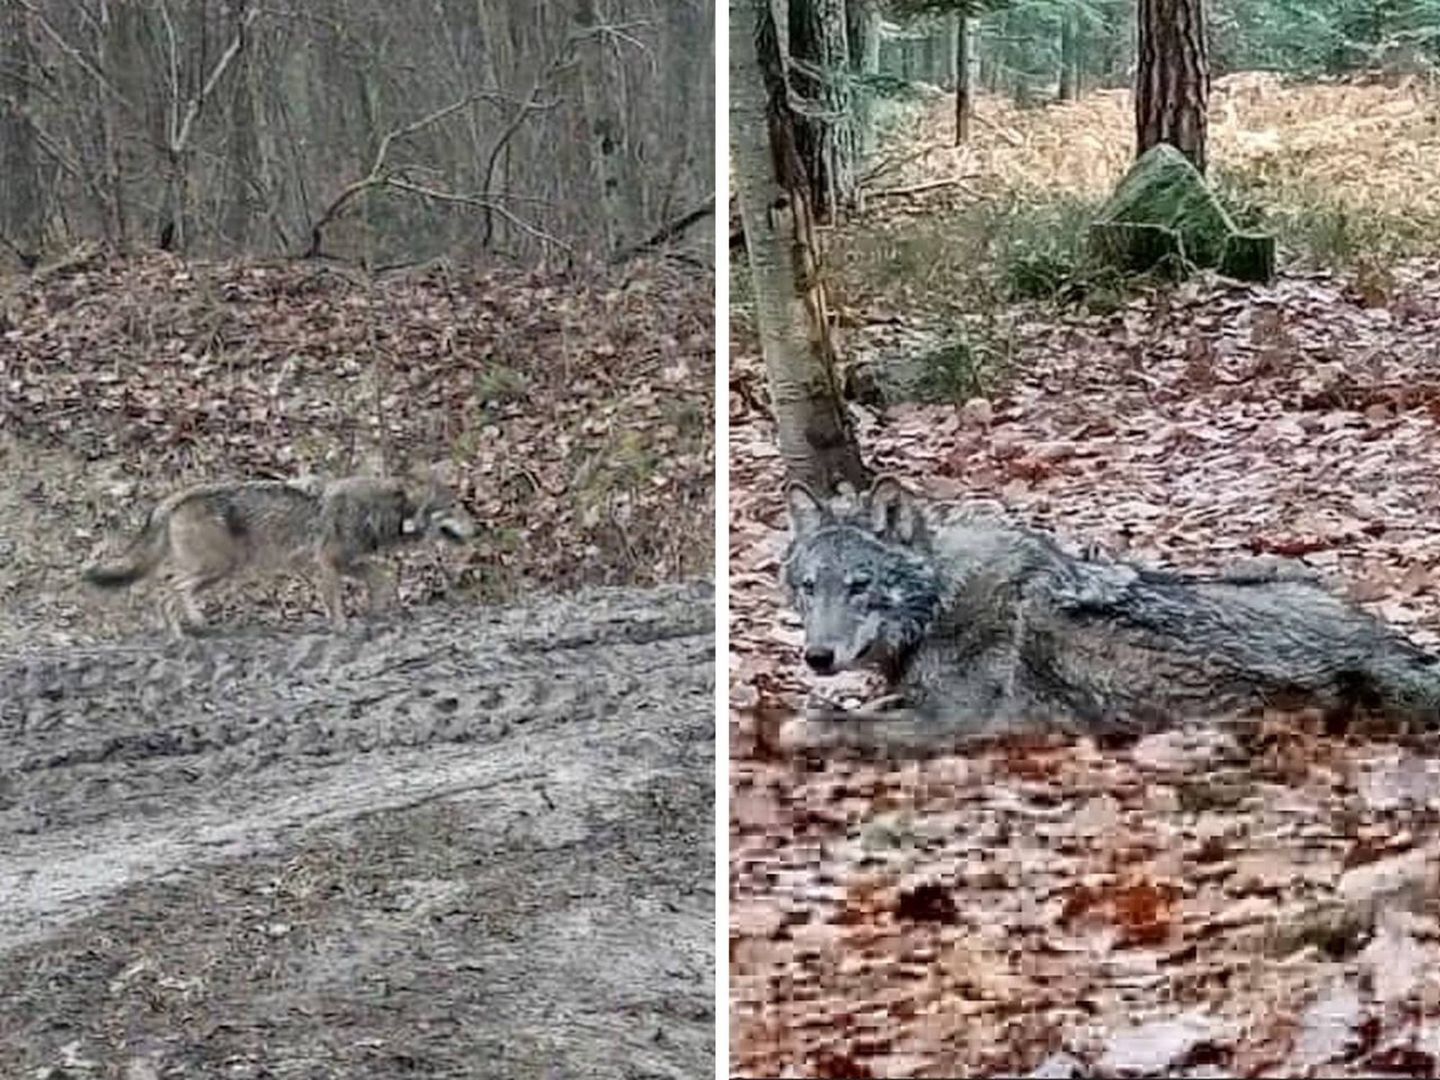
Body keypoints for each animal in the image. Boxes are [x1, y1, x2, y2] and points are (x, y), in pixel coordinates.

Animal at [82, 478, 478, 639]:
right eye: (454, 507)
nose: (478, 530)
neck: (384, 511)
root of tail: (175, 497)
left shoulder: (350, 563)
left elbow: (382, 579)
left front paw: (381, 612)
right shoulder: (327, 564)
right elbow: (338, 604)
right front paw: (343, 629)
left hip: (220, 572)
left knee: (166, 594)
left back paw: (181, 634)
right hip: (219, 568)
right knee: (170, 590)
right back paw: (190, 628)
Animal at [783, 478, 1440, 748]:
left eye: (861, 586)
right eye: (809, 588)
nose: (817, 657)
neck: (940, 602)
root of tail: (1368, 641)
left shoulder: (952, 725)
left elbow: (832, 728)